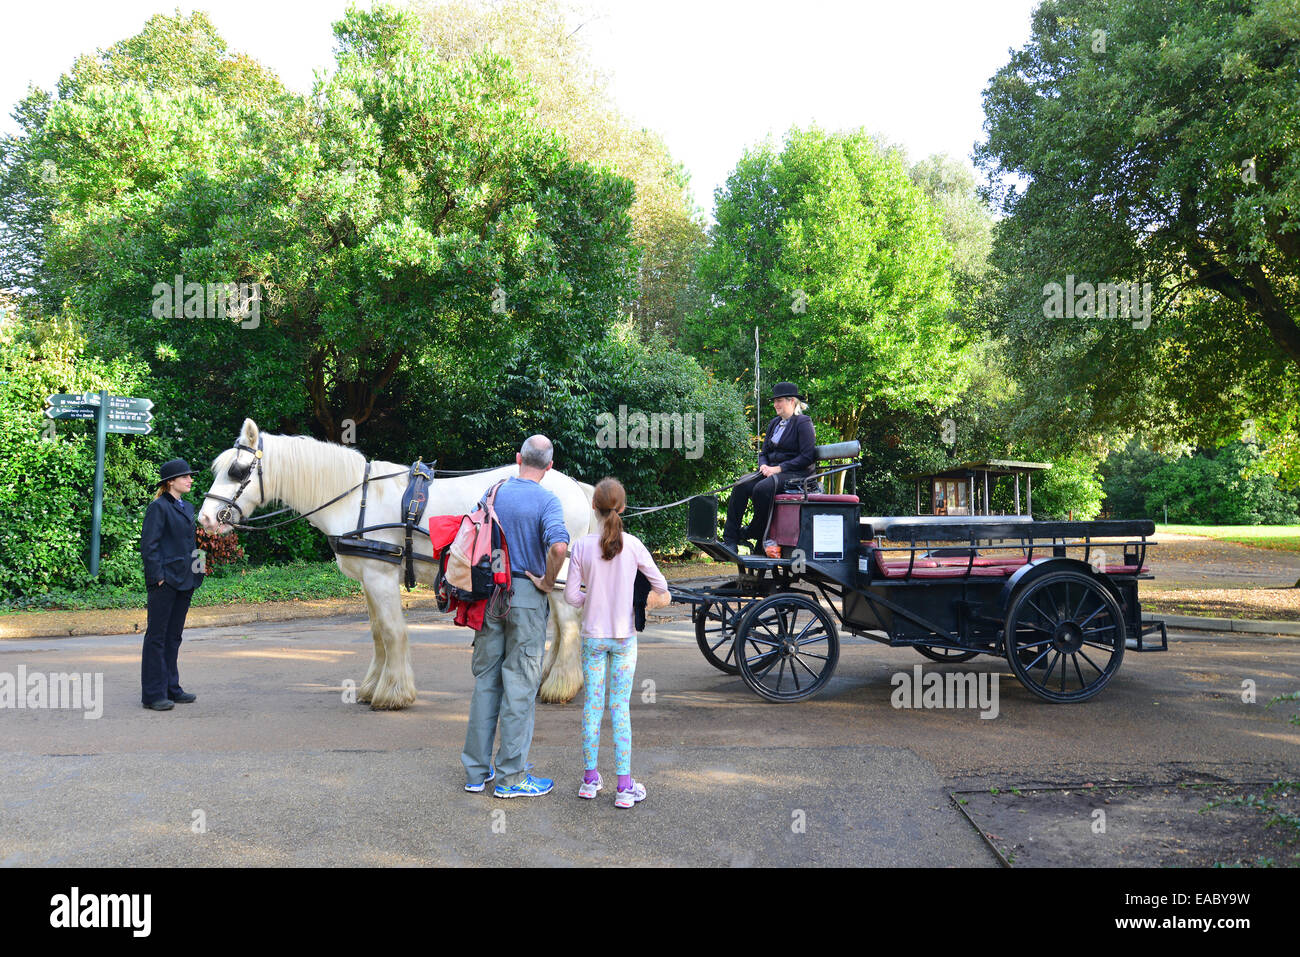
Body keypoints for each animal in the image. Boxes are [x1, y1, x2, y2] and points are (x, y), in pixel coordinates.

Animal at [193, 416, 595, 707]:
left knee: (568, 626)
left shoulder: (380, 576)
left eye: (237, 471)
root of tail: (576, 486)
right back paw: (553, 678)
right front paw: (373, 686)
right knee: (561, 628)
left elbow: (391, 631)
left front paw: (393, 693)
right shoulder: (368, 580)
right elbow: (376, 633)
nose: (206, 519)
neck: (355, 499)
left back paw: (559, 685)